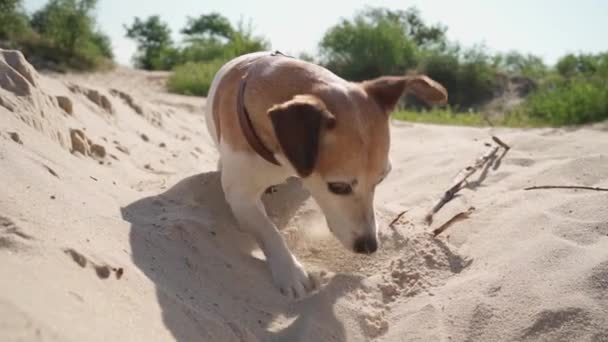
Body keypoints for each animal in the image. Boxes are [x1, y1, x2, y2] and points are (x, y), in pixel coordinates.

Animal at [204, 50, 446, 300]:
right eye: (338, 187)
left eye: (380, 180)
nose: (370, 246)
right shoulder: (240, 196)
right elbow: (268, 230)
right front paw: (291, 272)